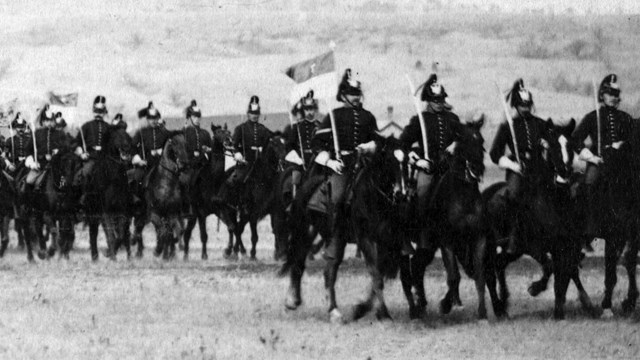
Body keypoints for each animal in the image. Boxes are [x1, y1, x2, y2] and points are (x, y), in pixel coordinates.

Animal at [84, 128, 135, 260]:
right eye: (117, 136)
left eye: (127, 136)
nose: (127, 147)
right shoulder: (105, 212)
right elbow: (111, 236)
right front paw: (110, 255)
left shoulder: (122, 211)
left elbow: (120, 235)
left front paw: (110, 253)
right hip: (93, 214)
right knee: (93, 234)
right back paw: (95, 257)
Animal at [400, 118, 504, 320]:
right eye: (463, 142)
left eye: (481, 141)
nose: (477, 169)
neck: (463, 197)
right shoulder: (447, 242)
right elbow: (454, 276)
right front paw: (445, 305)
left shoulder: (478, 240)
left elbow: (479, 275)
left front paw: (482, 313)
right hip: (427, 244)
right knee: (414, 268)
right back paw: (418, 306)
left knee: (418, 266)